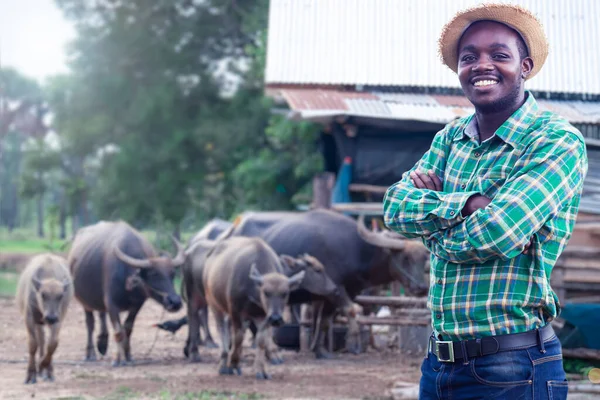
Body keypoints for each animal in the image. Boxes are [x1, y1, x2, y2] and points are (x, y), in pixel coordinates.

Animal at [16, 253, 73, 384]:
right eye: (43, 294)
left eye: (60, 296)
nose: (50, 317)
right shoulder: (29, 318)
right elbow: (33, 344)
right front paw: (31, 374)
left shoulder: (58, 318)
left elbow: (53, 344)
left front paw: (43, 366)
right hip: (38, 322)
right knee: (40, 339)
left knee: (44, 340)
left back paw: (46, 371)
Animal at [67, 220, 183, 368]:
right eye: (154, 274)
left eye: (172, 274)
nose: (175, 302)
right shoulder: (111, 303)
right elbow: (118, 331)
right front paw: (117, 360)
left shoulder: (137, 304)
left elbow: (127, 329)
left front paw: (128, 356)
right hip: (84, 300)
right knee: (90, 324)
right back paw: (90, 354)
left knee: (101, 314)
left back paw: (102, 343)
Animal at [202, 236, 304, 380]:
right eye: (266, 292)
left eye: (285, 293)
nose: (276, 319)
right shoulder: (235, 312)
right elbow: (238, 338)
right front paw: (234, 364)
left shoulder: (264, 317)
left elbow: (261, 341)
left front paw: (261, 370)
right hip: (214, 304)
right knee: (222, 330)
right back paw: (223, 365)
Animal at [229, 209, 426, 360]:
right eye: (406, 258)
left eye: (423, 258)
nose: (422, 288)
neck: (357, 249)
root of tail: (235, 231)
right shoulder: (336, 289)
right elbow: (351, 311)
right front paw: (353, 345)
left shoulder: (337, 293)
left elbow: (324, 321)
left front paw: (320, 351)